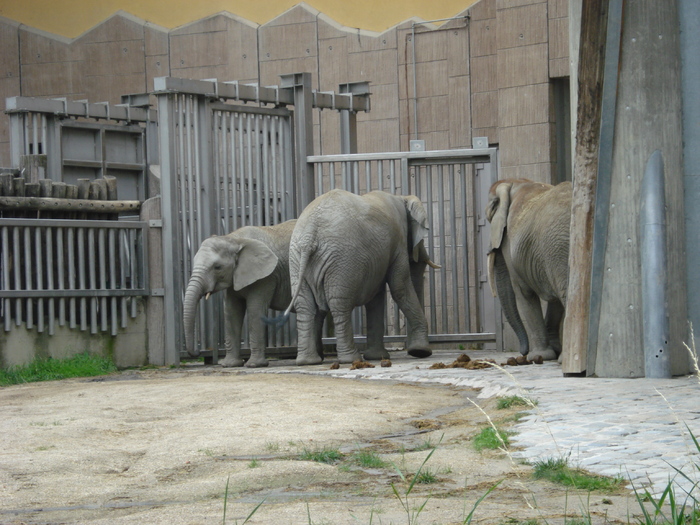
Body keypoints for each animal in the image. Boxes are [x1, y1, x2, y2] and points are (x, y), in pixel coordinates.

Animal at [182, 219, 308, 366]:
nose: (197, 352)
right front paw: (230, 365)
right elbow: (231, 312)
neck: (234, 239)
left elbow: (255, 310)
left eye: (217, 267)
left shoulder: (267, 276)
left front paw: (254, 365)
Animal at [284, 188, 438, 364]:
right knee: (339, 304)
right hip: (342, 259)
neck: (401, 197)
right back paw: (351, 359)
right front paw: (421, 352)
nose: (416, 351)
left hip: (296, 258)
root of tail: (310, 234)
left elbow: (376, 298)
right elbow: (400, 287)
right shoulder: (398, 242)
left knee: (305, 305)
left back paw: (308, 361)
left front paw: (378, 357)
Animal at [484, 179, 572, 360]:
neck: (514, 182)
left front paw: (539, 357)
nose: (522, 352)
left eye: (488, 216)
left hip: (559, 246)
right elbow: (554, 300)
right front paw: (552, 351)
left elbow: (523, 293)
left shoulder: (510, 241)